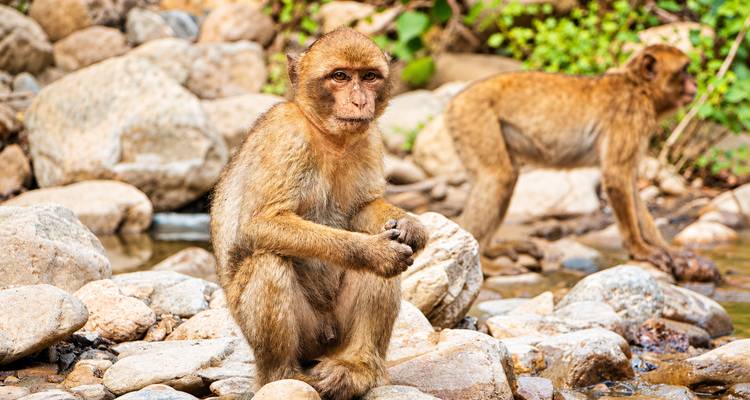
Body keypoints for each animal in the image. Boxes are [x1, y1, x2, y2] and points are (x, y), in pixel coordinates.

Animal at [210, 27, 428, 400]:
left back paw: (358, 367)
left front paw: (410, 226)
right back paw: (283, 375)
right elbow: (260, 224)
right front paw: (374, 250)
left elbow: (364, 210)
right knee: (269, 260)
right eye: (340, 76)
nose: (359, 101)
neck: (329, 137)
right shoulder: (286, 136)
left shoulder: (369, 139)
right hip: (294, 333)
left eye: (369, 77)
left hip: (335, 338)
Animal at [445, 44, 719, 282]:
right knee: (499, 176)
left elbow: (630, 183)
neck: (637, 87)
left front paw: (663, 248)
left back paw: (493, 250)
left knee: (506, 176)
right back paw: (485, 261)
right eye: (685, 70)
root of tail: (456, 101)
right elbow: (616, 176)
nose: (695, 83)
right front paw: (640, 249)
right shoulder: (630, 116)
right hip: (475, 117)